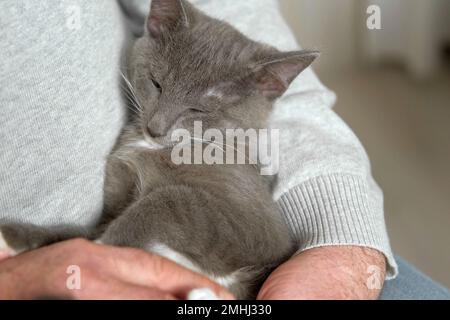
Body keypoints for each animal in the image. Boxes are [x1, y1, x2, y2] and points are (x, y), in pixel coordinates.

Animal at [0, 0, 318, 300]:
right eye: (156, 83)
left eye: (197, 109)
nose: (155, 128)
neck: (152, 150)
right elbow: (82, 233)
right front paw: (17, 236)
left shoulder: (255, 224)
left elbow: (171, 198)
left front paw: (103, 249)